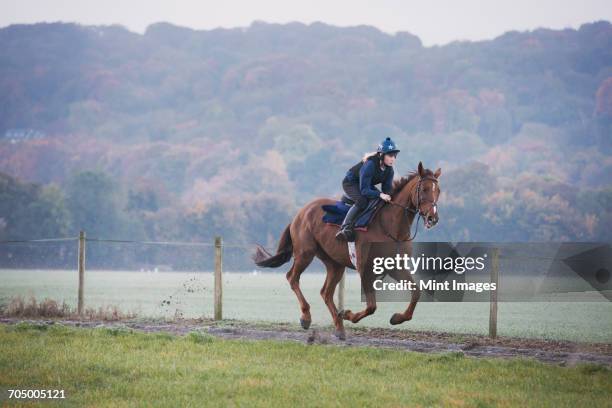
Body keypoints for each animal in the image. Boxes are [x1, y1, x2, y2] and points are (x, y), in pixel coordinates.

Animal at [252, 161, 440, 340]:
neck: (391, 227)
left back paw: (339, 328)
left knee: (326, 293)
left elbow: (416, 292)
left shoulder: (395, 267)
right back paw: (307, 317)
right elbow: (371, 306)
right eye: (424, 189)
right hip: (305, 253)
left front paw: (397, 318)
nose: (433, 218)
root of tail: (300, 213)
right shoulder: (365, 268)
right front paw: (348, 314)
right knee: (293, 278)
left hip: (334, 263)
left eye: (438, 191)